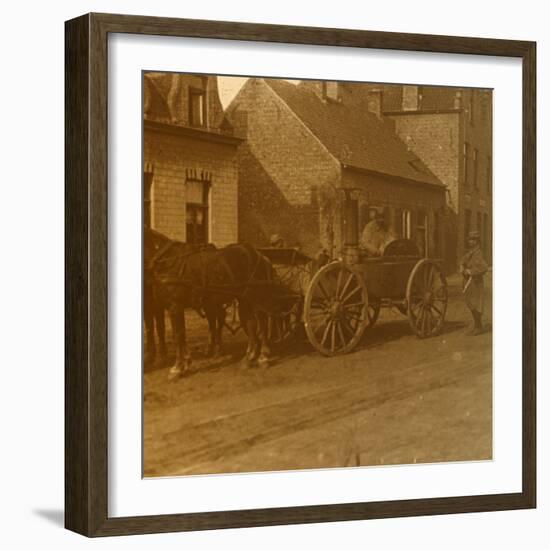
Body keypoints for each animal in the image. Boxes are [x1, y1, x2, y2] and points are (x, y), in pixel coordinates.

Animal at [146, 227, 278, 380]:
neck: (168, 261)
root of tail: (260, 255)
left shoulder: (174, 306)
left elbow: (177, 336)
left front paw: (177, 368)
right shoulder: (172, 307)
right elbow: (181, 335)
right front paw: (185, 364)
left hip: (256, 298)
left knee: (262, 324)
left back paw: (263, 357)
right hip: (244, 300)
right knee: (251, 324)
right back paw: (248, 359)